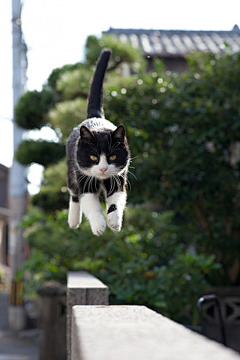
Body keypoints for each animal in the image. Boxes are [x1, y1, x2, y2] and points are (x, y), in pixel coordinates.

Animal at [66, 48, 130, 236]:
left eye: (113, 157)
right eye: (93, 157)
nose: (102, 168)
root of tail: (95, 116)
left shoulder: (119, 177)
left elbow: (117, 199)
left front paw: (114, 221)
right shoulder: (84, 177)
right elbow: (89, 202)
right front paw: (99, 226)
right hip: (71, 167)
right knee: (74, 192)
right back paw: (73, 221)